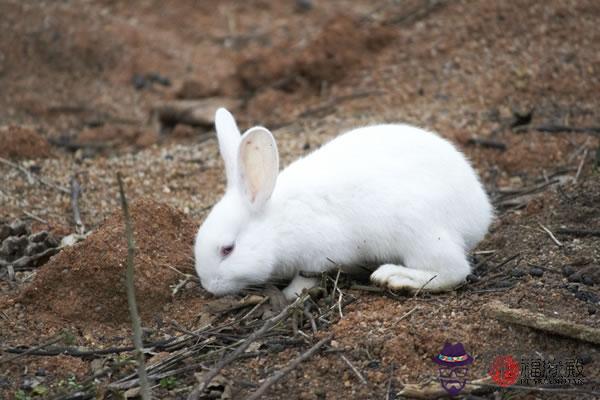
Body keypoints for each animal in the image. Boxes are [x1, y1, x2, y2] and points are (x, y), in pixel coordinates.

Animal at [195, 108, 494, 298]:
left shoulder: (317, 254)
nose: (209, 286)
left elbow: (307, 277)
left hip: (420, 233)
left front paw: (290, 293)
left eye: (227, 249)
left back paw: (395, 277)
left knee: (453, 271)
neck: (277, 223)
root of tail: (480, 213)